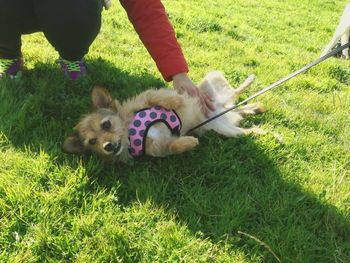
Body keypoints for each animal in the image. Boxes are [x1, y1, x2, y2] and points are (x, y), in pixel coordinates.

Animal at [62, 72, 266, 163]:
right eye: (92, 142)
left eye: (106, 125)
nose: (108, 146)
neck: (131, 134)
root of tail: (224, 108)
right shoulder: (159, 147)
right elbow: (173, 146)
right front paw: (189, 142)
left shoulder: (146, 98)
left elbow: (158, 96)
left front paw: (177, 101)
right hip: (227, 130)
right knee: (245, 125)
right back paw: (261, 125)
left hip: (211, 79)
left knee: (235, 91)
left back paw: (250, 80)